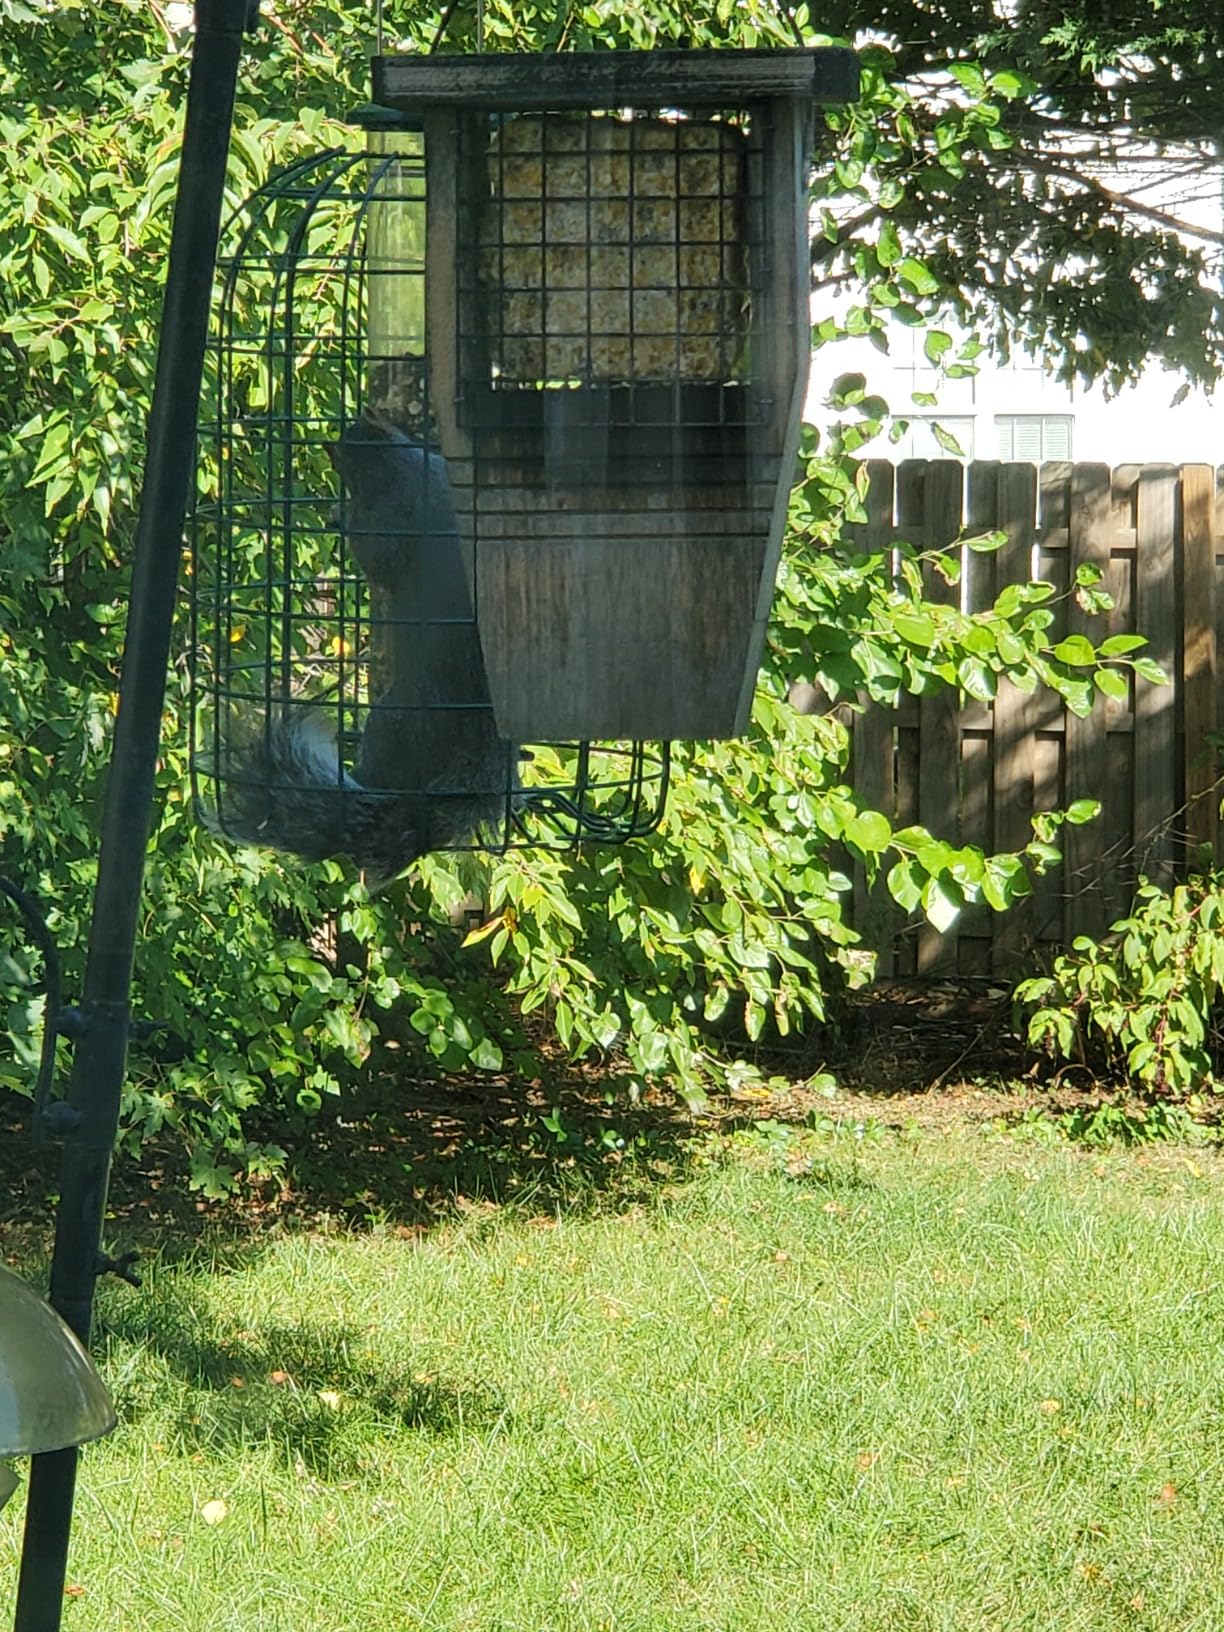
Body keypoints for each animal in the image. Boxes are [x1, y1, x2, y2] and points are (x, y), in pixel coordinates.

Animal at [213, 410, 517, 882]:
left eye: (347, 453)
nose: (331, 445)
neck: (406, 468)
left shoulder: (393, 522)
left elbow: (375, 554)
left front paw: (343, 515)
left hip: (393, 723)